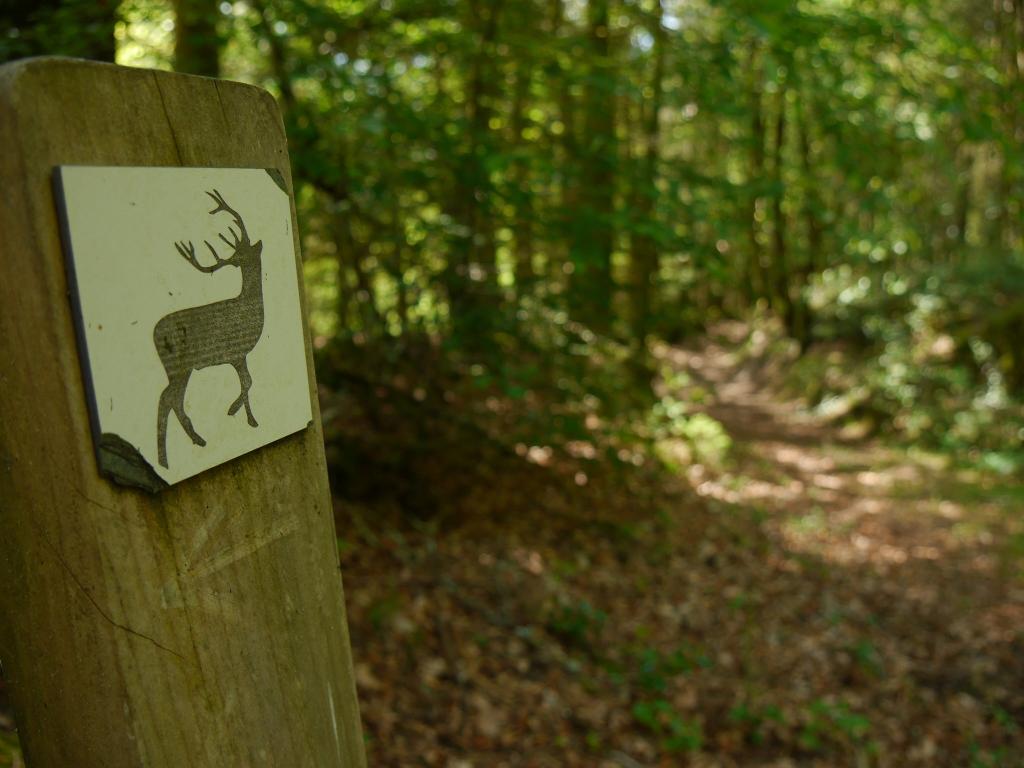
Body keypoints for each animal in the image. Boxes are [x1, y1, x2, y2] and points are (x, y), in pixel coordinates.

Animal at [154, 189, 265, 469]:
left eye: (247, 250)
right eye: (240, 257)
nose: (259, 246)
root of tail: (155, 333)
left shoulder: (239, 355)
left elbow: (248, 380)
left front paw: (248, 419)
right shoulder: (237, 353)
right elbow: (248, 381)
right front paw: (237, 412)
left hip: (177, 368)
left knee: (172, 399)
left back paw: (182, 449)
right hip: (181, 365)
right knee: (168, 398)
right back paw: (176, 453)